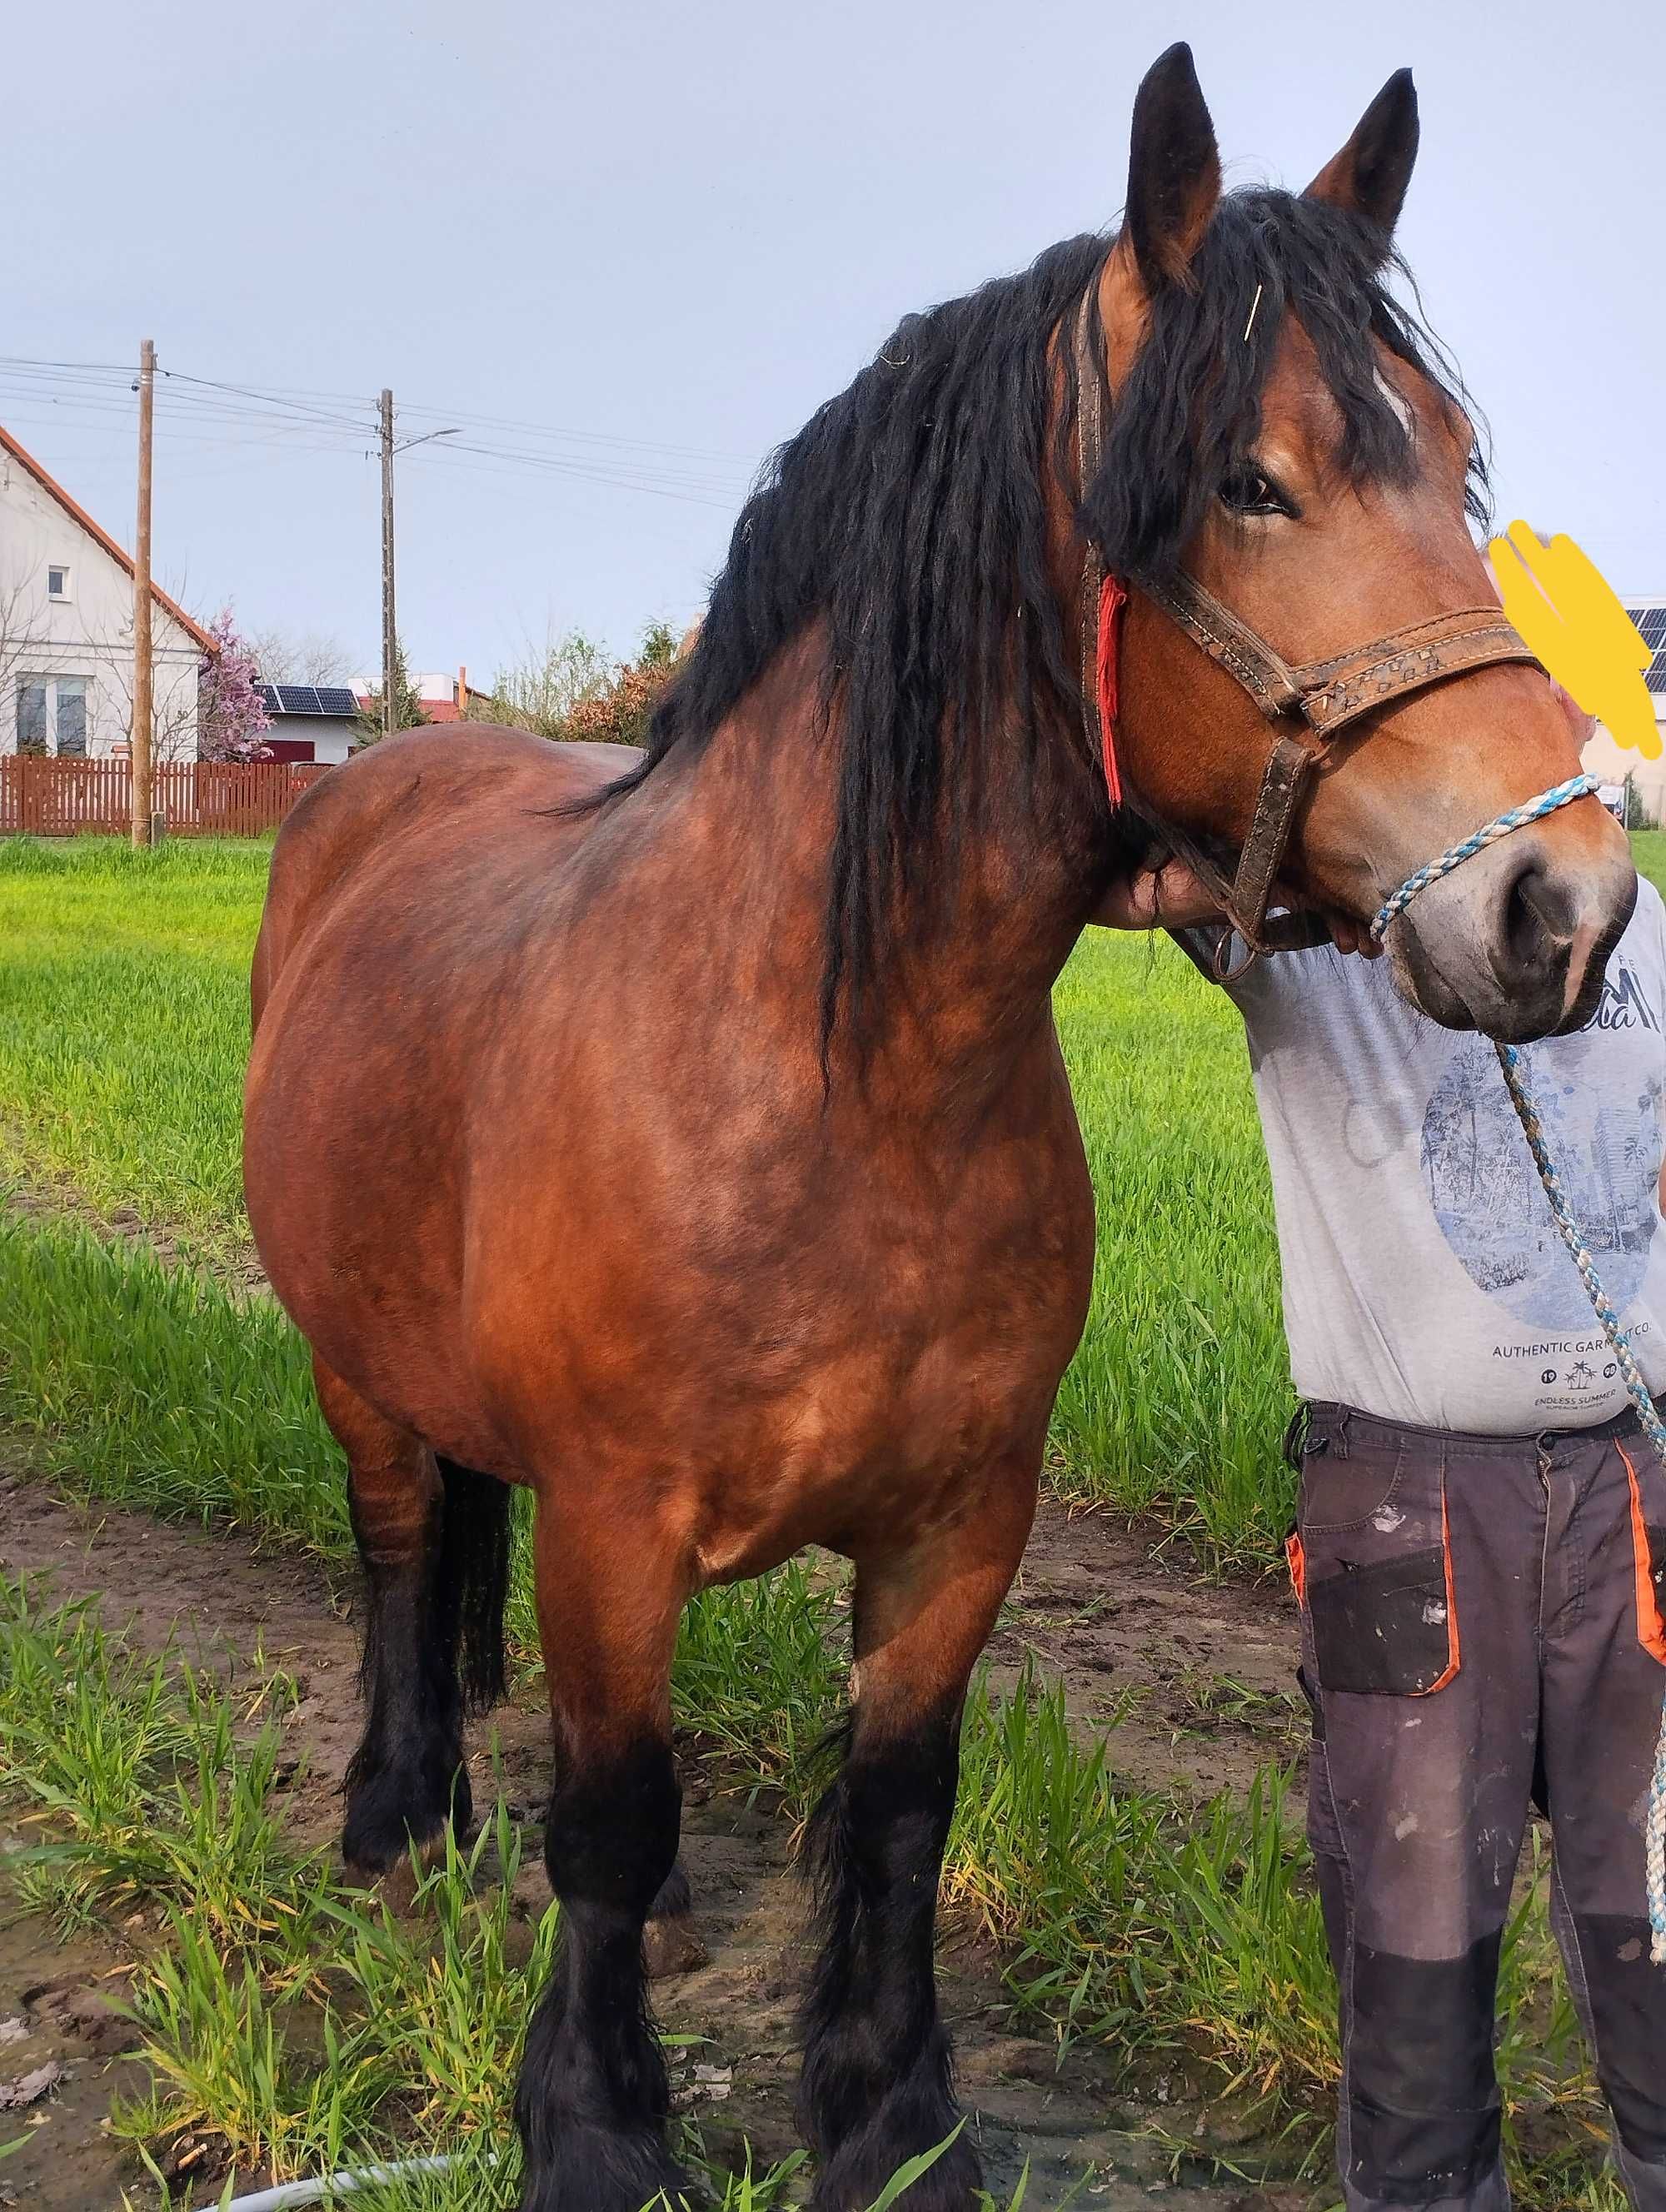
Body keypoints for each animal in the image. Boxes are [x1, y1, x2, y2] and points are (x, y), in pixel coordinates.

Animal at [240, 47, 1628, 2212]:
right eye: (1251, 480)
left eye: (1459, 465)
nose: (1557, 906)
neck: (834, 1090)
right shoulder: (612, 1532)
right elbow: (609, 1813)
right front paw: (595, 2123)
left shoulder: (960, 1525)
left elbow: (895, 1811)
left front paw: (892, 2117)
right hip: (354, 1371)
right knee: (399, 1558)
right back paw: (404, 1817)